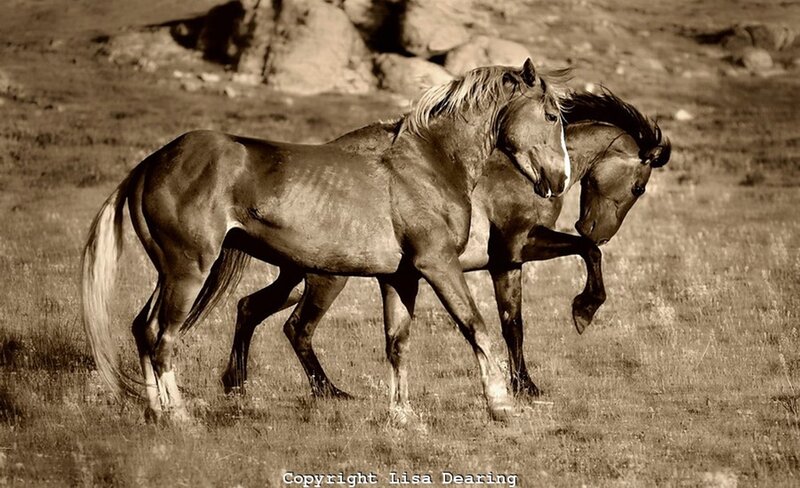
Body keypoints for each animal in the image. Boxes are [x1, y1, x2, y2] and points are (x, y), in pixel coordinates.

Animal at [81, 59, 571, 423]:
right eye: (550, 116)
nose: (559, 179)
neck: (427, 165)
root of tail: (150, 164)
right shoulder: (439, 264)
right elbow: (477, 327)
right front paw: (501, 403)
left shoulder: (400, 277)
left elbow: (397, 343)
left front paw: (402, 415)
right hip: (190, 270)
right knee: (165, 337)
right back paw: (180, 416)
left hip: (171, 272)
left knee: (145, 328)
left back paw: (156, 412)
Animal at [220, 90, 671, 403]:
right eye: (639, 186)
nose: (598, 229)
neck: (518, 170)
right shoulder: (518, 246)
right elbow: (587, 254)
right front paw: (584, 310)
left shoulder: (506, 265)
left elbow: (513, 324)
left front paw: (524, 385)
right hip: (325, 278)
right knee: (297, 327)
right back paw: (329, 393)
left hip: (295, 273)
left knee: (250, 308)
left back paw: (237, 386)